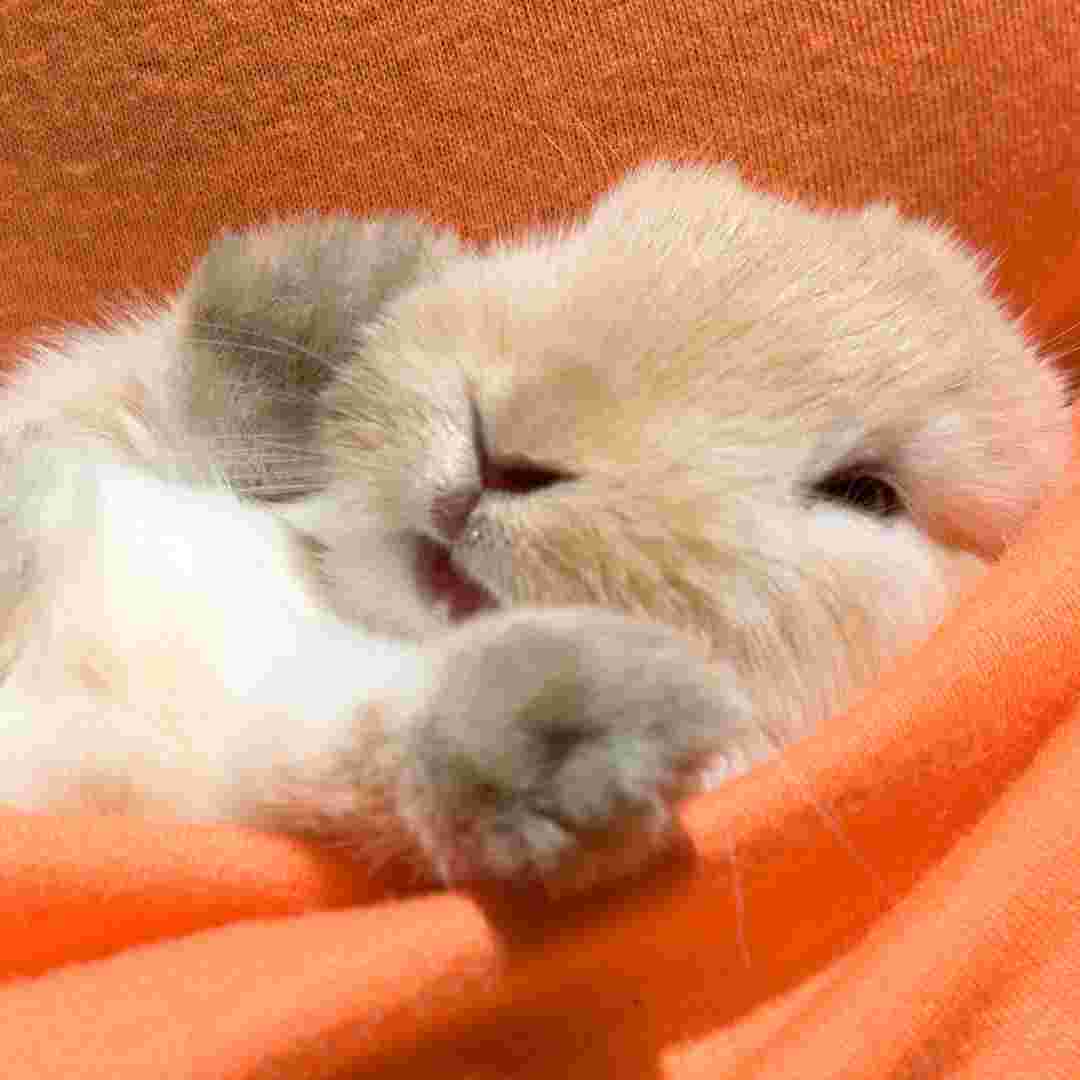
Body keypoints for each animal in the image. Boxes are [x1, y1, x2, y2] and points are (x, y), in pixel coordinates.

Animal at [0, 162, 1069, 894]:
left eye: (867, 494)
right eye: (580, 242)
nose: (498, 456)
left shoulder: (239, 747)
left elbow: (395, 739)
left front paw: (607, 721)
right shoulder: (92, 422)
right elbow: (156, 401)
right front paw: (350, 273)